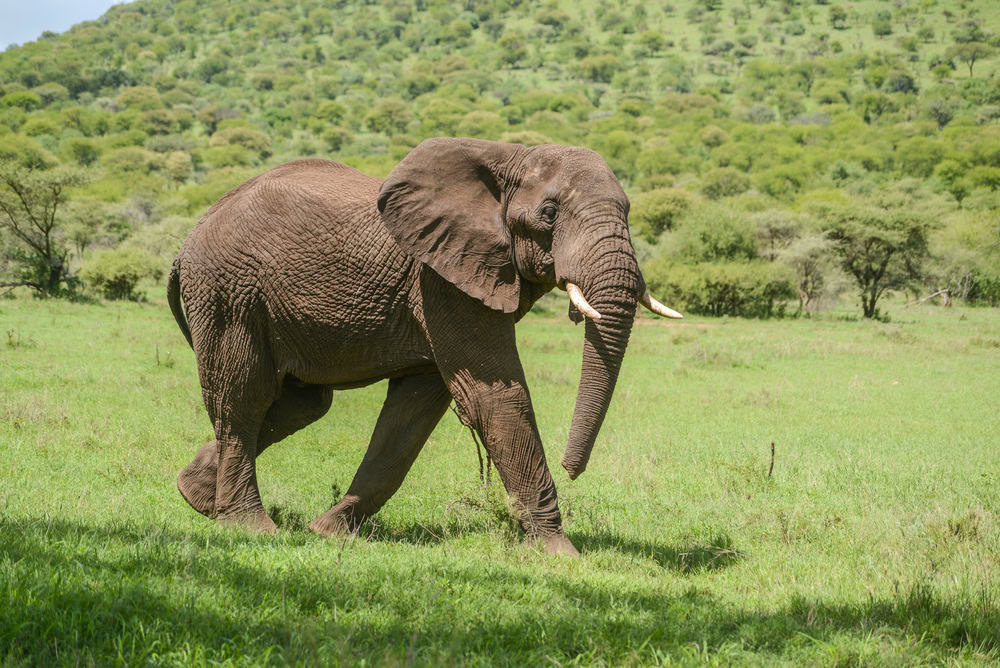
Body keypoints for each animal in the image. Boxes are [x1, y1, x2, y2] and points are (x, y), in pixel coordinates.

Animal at [167, 137, 681, 556]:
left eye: (629, 211)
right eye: (550, 213)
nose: (572, 468)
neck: (509, 157)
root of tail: (188, 240)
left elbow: (411, 414)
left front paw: (328, 532)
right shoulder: (441, 279)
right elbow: (495, 395)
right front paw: (560, 554)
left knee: (300, 404)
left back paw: (196, 496)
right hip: (228, 293)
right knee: (244, 401)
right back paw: (249, 527)